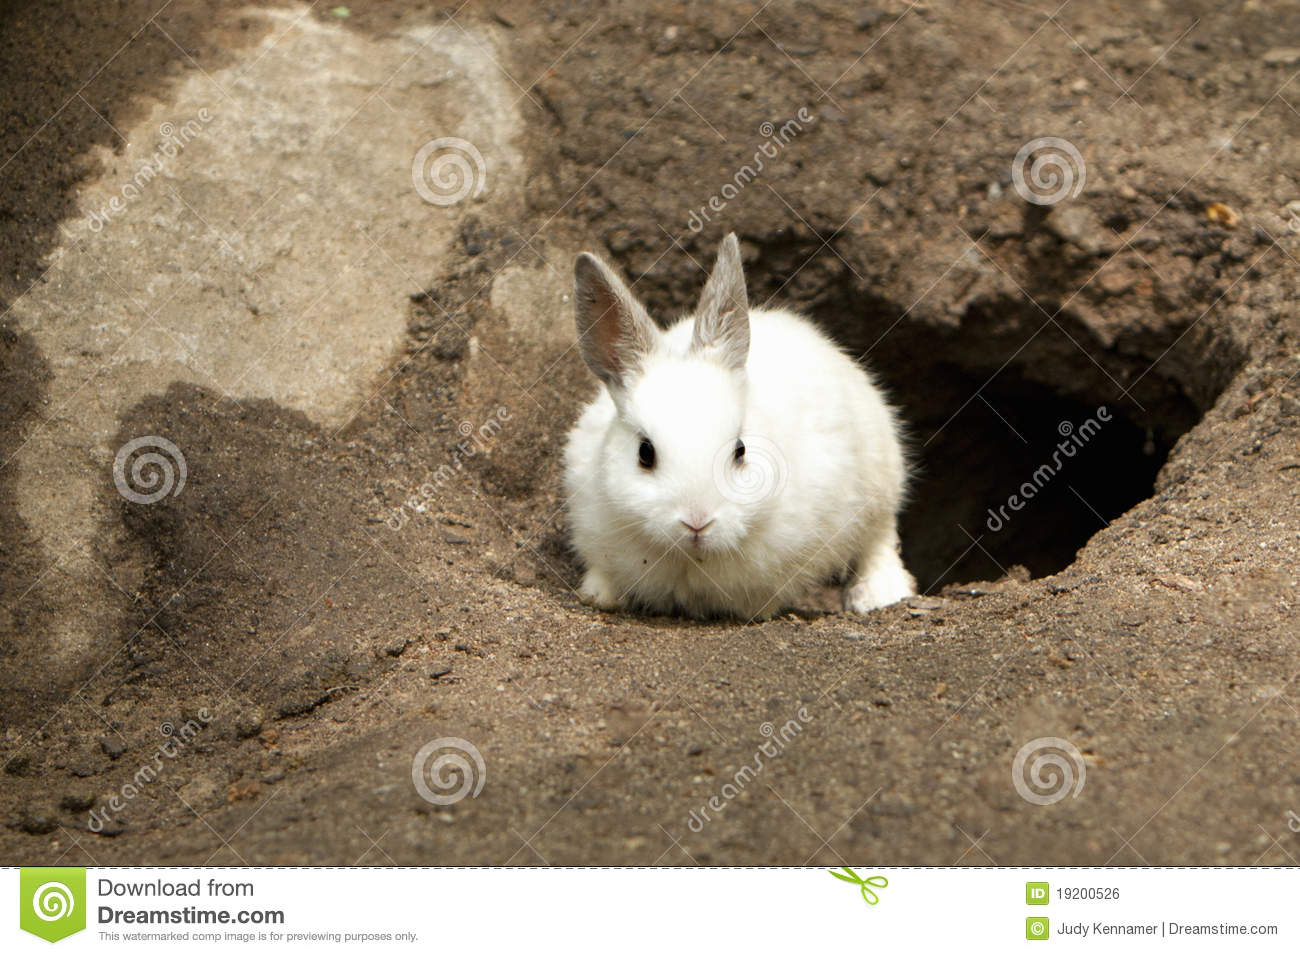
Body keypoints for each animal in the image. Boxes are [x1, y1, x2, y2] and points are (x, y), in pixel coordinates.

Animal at [562, 232, 915, 621]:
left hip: (882, 483)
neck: (692, 559)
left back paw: (878, 594)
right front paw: (599, 596)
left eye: (740, 451)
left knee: (880, 541)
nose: (697, 522)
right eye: (645, 453)